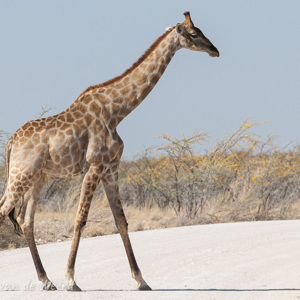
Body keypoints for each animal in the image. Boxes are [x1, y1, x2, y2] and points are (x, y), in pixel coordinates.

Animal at [0, 11, 218, 290]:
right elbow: (81, 219)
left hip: (38, 176)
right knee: (4, 211)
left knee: (26, 221)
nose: (214, 50)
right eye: (193, 34)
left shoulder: (111, 168)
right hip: (21, 173)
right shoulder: (95, 166)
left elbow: (121, 221)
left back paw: (47, 281)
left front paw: (141, 279)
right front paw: (71, 279)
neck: (117, 111)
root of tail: (11, 142)